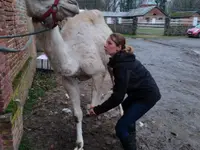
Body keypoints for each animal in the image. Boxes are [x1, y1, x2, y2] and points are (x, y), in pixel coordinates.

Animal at [24, 0, 122, 149]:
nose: (73, 4)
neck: (74, 58)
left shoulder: (98, 71)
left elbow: (94, 102)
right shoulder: (68, 79)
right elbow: (77, 114)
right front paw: (79, 144)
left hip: (112, 62)